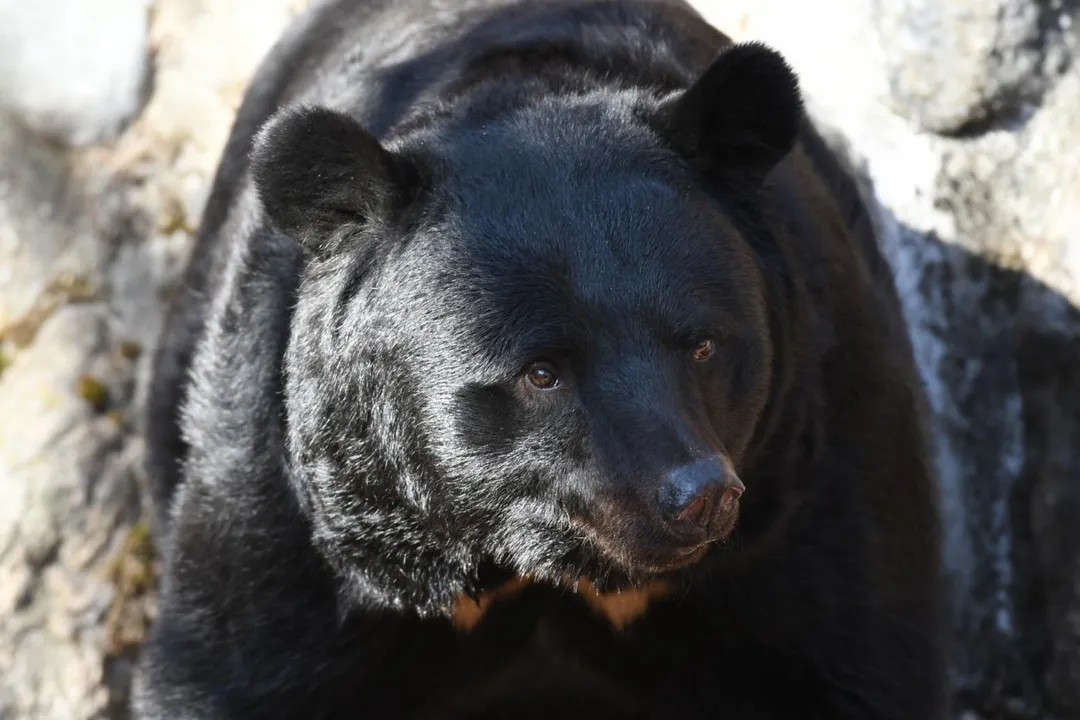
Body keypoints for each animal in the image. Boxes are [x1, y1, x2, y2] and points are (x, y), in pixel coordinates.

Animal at [135, 0, 948, 718]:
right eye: (543, 372)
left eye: (704, 345)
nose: (698, 496)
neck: (535, 566)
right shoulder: (303, 490)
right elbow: (232, 662)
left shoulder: (813, 461)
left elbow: (853, 649)